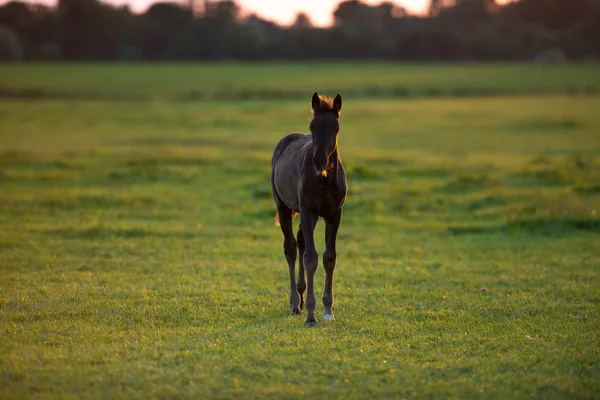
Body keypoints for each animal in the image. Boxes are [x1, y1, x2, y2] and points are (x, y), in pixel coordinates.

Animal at [270, 92, 350, 326]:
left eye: (336, 128)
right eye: (312, 127)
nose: (319, 160)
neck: (324, 179)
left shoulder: (334, 214)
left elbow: (329, 257)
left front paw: (328, 311)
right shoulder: (307, 211)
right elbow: (311, 258)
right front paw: (311, 317)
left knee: (300, 240)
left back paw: (301, 295)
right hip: (284, 207)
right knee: (290, 247)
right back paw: (296, 304)